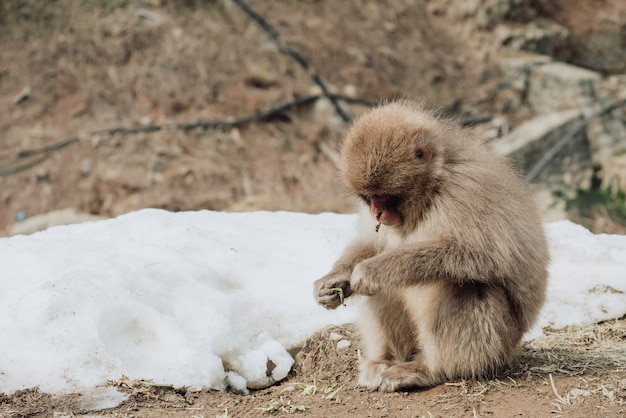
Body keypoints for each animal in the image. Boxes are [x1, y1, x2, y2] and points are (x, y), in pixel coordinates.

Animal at [312, 101, 544, 392]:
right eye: (368, 198)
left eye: (385, 197)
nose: (377, 213)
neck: (433, 187)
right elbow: (372, 242)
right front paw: (334, 282)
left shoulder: (466, 190)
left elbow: (484, 255)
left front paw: (374, 271)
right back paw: (386, 360)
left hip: (497, 344)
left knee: (461, 285)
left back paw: (430, 369)